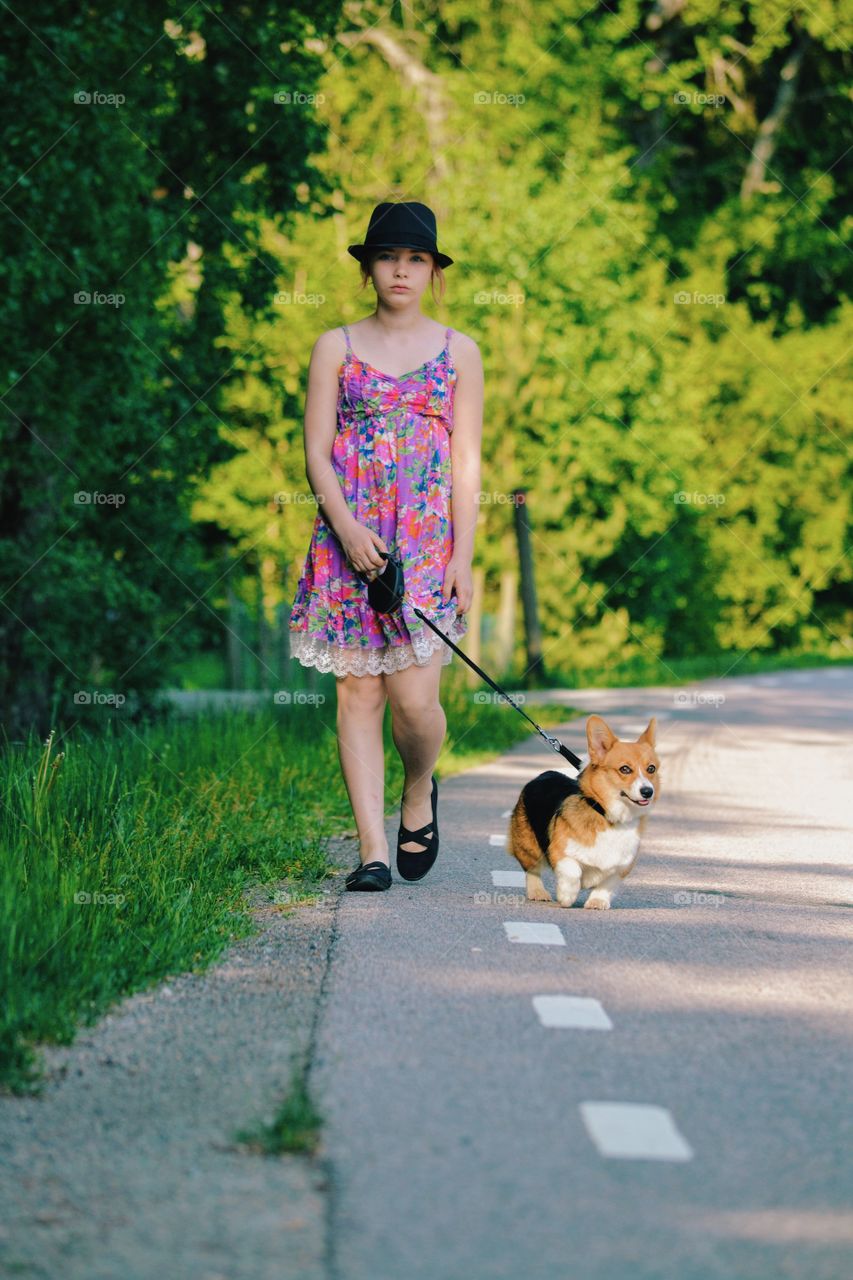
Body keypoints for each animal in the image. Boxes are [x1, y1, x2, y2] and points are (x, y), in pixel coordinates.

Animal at [504, 711, 655, 911]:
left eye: (651, 768)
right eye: (625, 769)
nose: (648, 791)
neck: (608, 817)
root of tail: (543, 774)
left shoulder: (623, 865)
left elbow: (607, 883)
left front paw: (597, 902)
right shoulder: (560, 851)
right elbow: (572, 871)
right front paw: (566, 895)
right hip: (528, 845)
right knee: (531, 869)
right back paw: (538, 892)